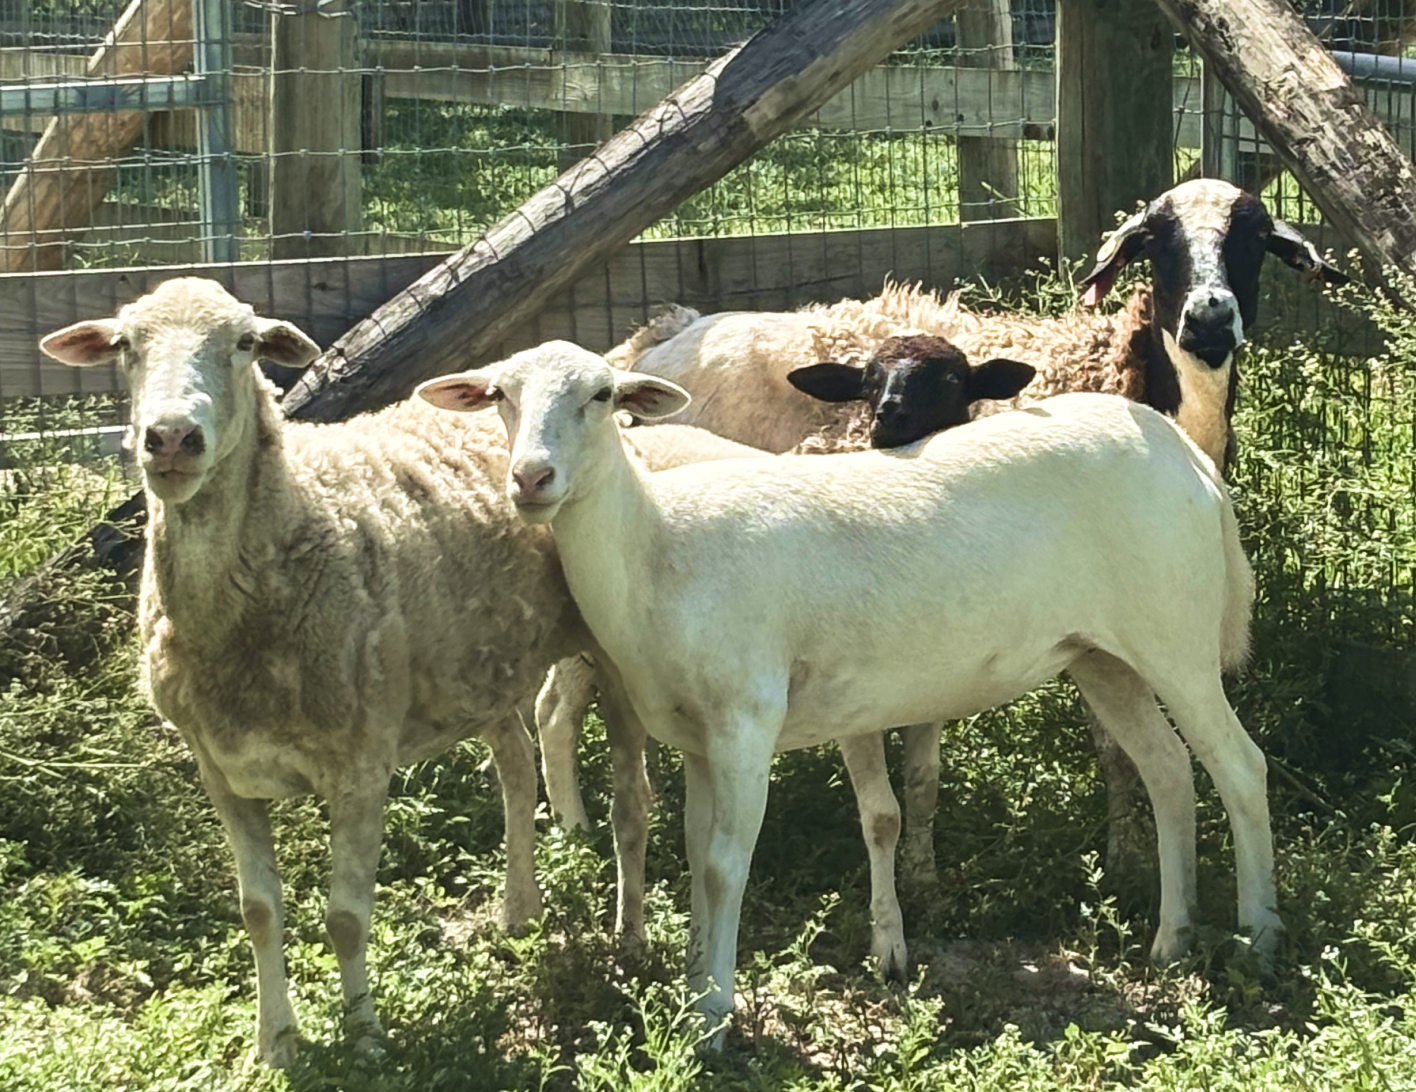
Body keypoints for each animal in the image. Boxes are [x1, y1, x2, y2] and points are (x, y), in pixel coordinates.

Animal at [36, 278, 621, 1068]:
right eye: (126, 345)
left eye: (245, 343)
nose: (172, 439)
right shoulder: (220, 770)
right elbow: (257, 910)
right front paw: (276, 1043)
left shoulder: (360, 762)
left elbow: (346, 918)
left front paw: (367, 1039)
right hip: (476, 668)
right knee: (516, 763)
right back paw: (519, 911)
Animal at [418, 341, 1281, 1042]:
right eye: (499, 395)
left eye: (601, 396)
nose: (532, 479)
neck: (658, 545)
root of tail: (1188, 457)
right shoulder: (699, 737)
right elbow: (696, 857)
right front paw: (697, 986)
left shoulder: (746, 719)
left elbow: (726, 865)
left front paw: (714, 1017)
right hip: (1102, 653)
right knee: (1168, 770)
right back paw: (1171, 940)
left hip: (1174, 633)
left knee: (1240, 768)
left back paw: (1259, 936)